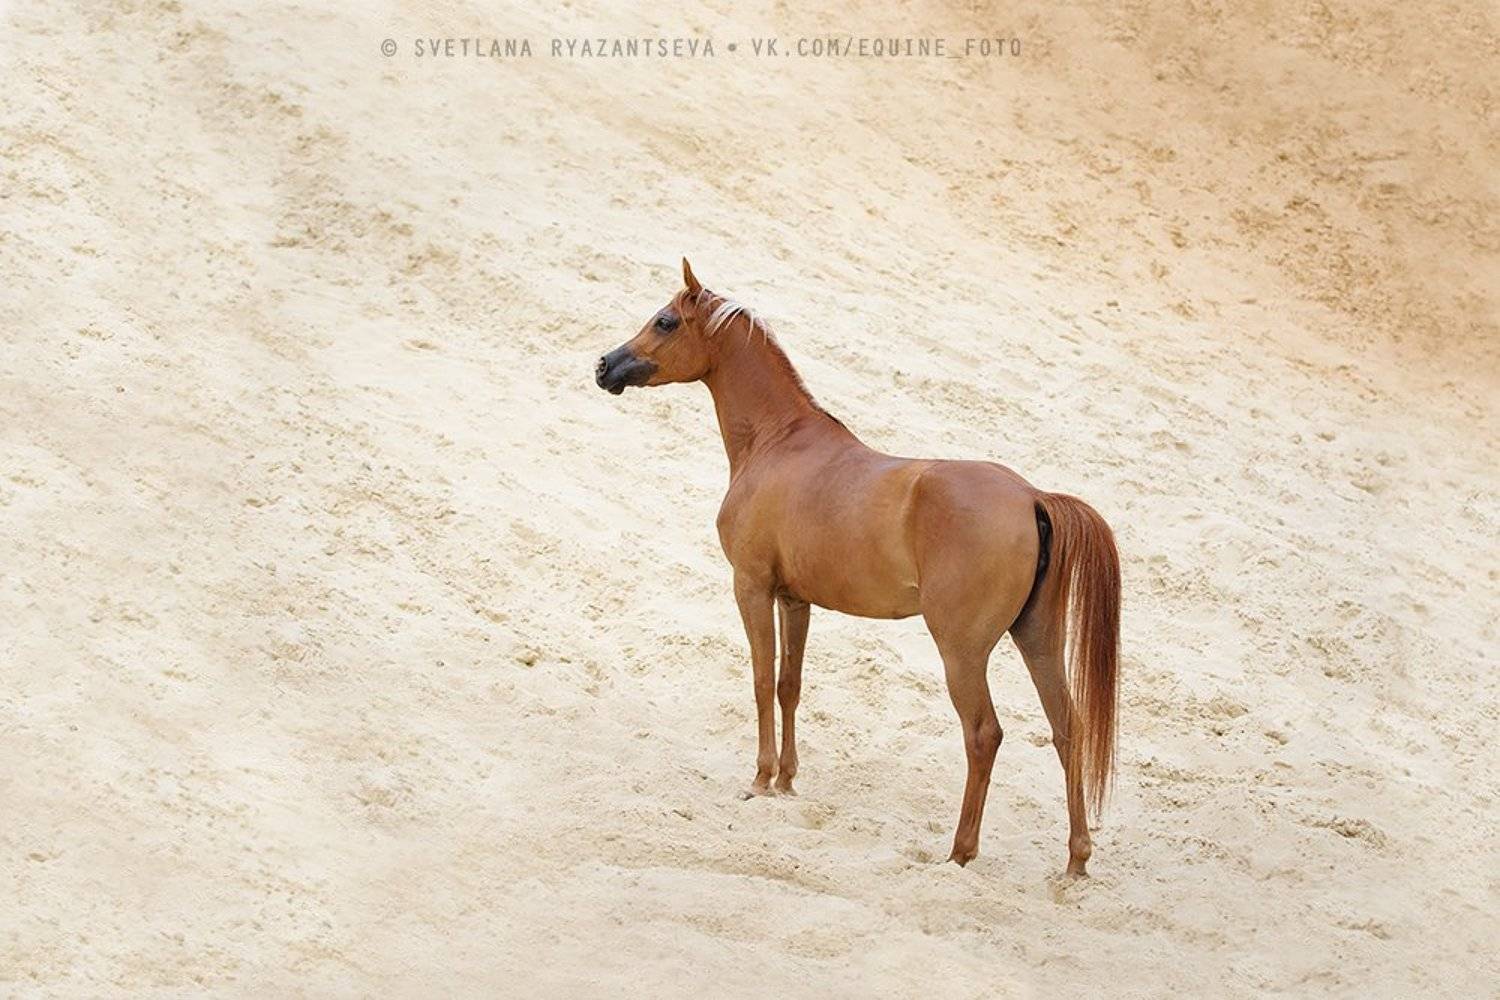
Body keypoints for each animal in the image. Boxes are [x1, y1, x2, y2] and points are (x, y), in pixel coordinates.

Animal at [594, 259, 1120, 875]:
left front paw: (760, 778)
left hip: (962, 653)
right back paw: (1076, 859)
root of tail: (1033, 497)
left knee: (983, 735)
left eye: (666, 321)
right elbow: (789, 684)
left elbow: (759, 679)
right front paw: (787, 781)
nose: (605, 366)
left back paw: (960, 852)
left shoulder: (751, 587)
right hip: (1037, 638)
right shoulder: (794, 598)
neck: (778, 442)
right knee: (1068, 730)